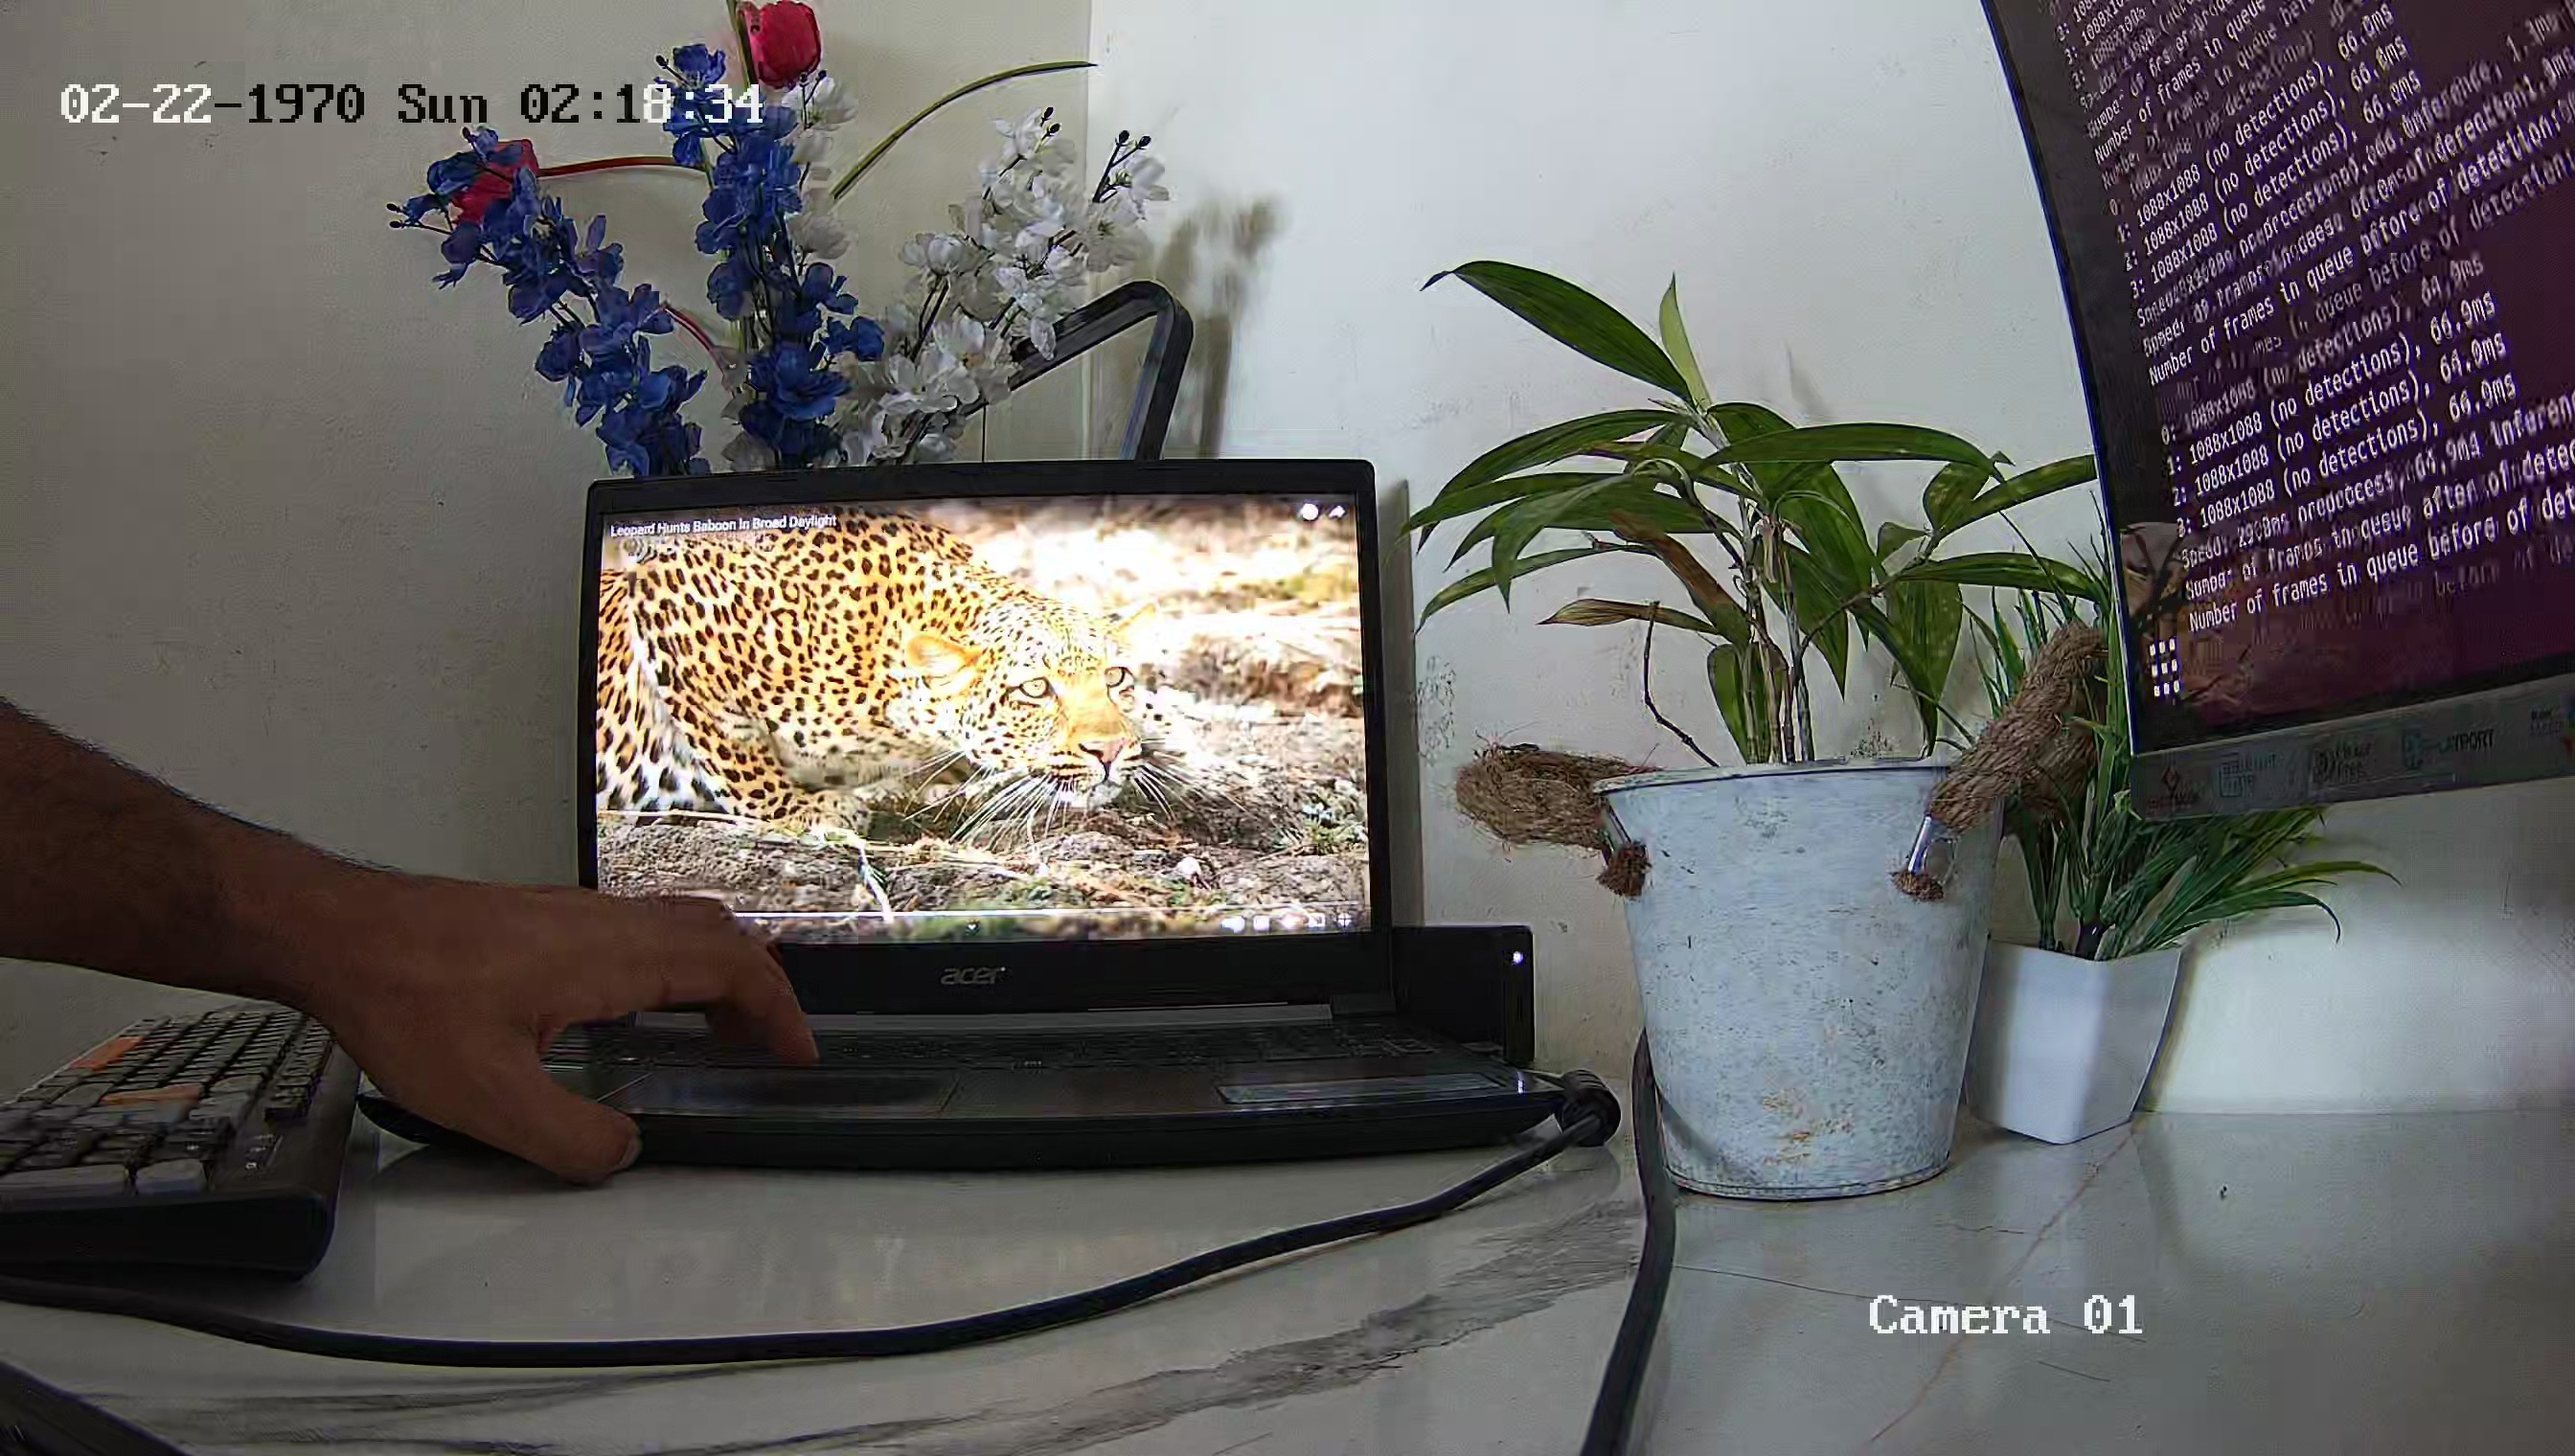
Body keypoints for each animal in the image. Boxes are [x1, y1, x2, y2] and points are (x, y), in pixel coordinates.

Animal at [595, 512, 1170, 839]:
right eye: (1035, 689)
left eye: (1115, 677)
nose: (1109, 751)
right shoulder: (668, 588)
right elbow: (737, 756)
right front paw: (805, 813)